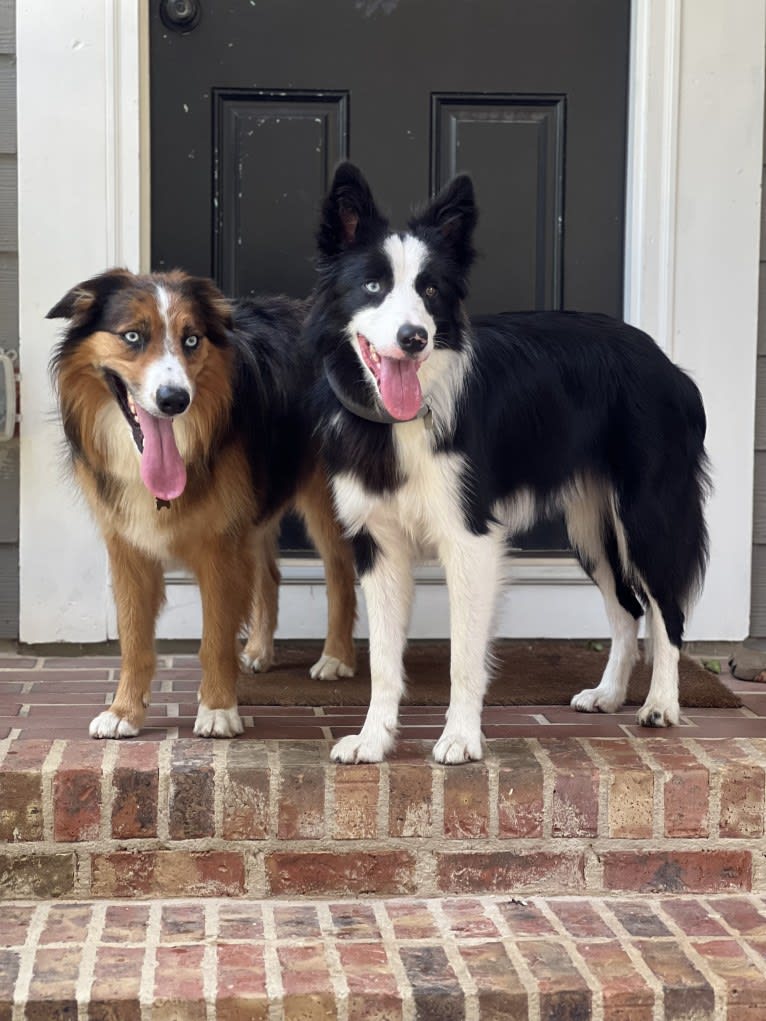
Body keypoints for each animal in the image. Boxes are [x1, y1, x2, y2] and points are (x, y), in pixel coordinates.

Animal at [49, 267, 355, 739]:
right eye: (133, 336)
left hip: (325, 500)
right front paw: (124, 711)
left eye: (191, 340)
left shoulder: (220, 546)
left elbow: (215, 639)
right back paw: (259, 650)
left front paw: (217, 709)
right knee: (269, 574)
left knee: (341, 575)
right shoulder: (129, 546)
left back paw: (336, 658)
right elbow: (134, 639)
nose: (175, 400)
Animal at [308, 163, 714, 763]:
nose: (415, 338)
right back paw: (609, 695)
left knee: (667, 609)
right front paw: (373, 740)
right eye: (373, 286)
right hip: (589, 529)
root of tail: (669, 366)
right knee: (626, 608)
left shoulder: (469, 539)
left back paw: (661, 704)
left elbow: (463, 655)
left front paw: (459, 738)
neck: (399, 421)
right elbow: (382, 659)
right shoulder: (377, 544)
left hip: (648, 516)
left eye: (431, 290)